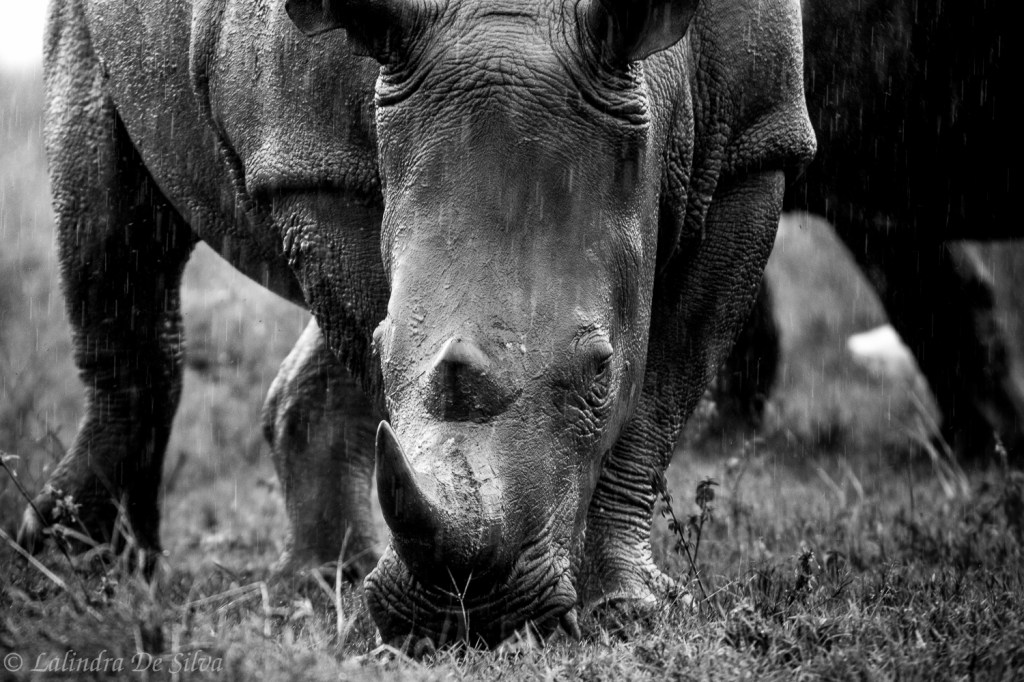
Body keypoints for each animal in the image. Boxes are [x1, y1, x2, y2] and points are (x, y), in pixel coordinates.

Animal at [18, 0, 814, 647]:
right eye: (382, 347)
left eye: (600, 372)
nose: (466, 618)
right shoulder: (314, 163)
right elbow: (373, 340)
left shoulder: (757, 144)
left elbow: (659, 401)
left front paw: (627, 610)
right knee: (112, 232)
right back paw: (90, 572)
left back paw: (317, 582)